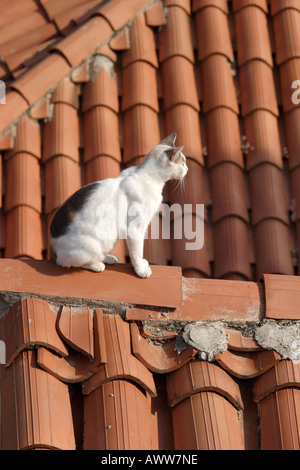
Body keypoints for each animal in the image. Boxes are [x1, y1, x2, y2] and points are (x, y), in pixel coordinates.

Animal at [48, 132, 188, 278]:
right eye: (183, 163)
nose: (187, 169)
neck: (146, 175)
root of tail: (52, 244)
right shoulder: (135, 228)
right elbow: (137, 251)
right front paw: (140, 269)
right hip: (91, 245)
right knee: (66, 262)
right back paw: (97, 264)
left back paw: (107, 257)